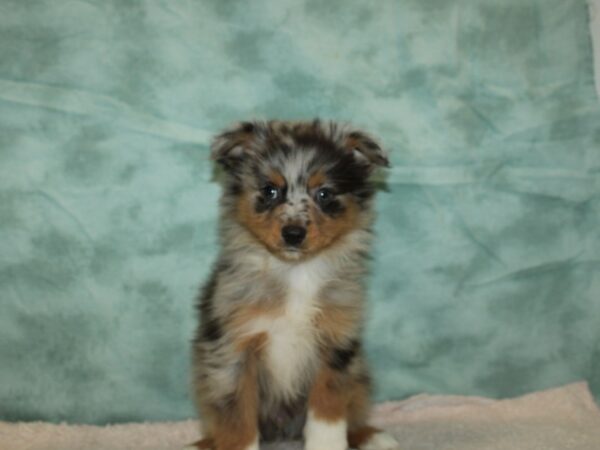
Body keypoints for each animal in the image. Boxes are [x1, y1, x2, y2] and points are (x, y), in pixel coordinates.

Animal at [193, 119, 398, 450]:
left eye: (324, 194)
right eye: (269, 190)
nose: (293, 233)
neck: (297, 272)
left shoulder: (335, 344)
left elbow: (328, 410)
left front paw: (329, 444)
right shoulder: (233, 351)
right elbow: (237, 421)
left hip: (360, 377)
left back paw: (371, 436)